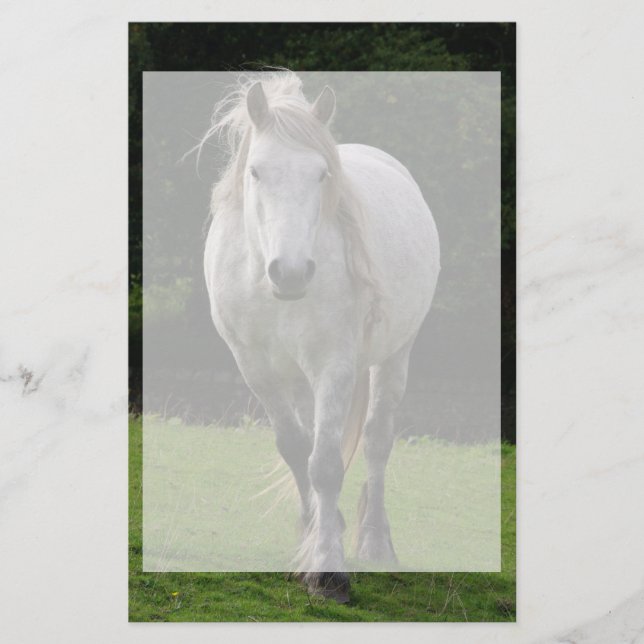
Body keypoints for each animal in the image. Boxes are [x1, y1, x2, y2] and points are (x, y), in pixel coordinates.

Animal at [202, 72, 440, 602]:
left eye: (320, 175)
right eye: (256, 172)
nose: (290, 273)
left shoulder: (334, 366)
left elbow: (326, 462)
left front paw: (328, 570)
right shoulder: (257, 369)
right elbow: (296, 448)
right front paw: (312, 535)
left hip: (395, 355)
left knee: (376, 442)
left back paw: (375, 543)